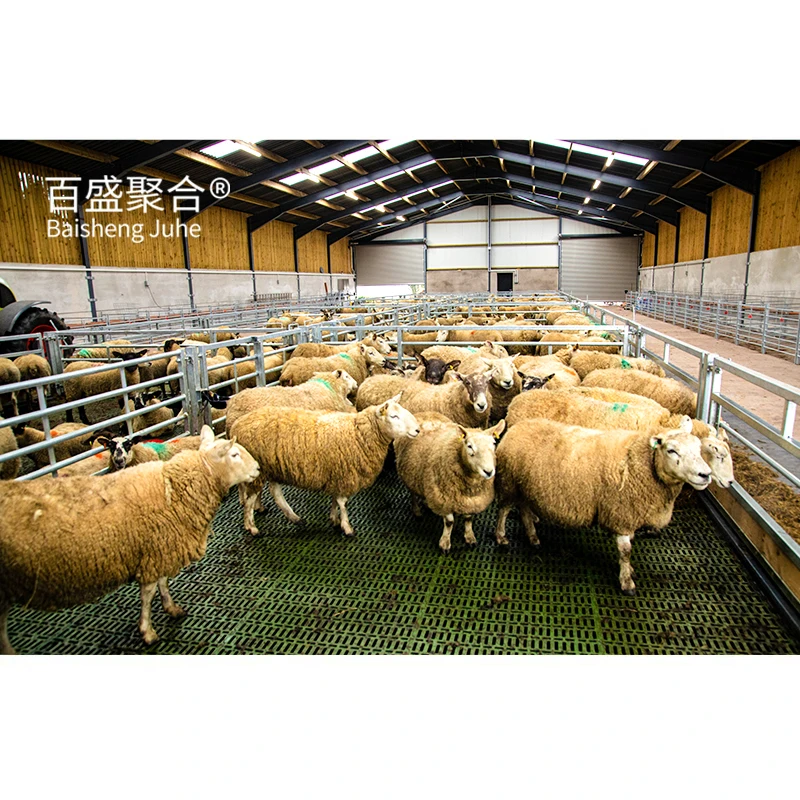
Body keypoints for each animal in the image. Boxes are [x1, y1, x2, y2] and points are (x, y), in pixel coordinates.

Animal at [0, 425, 259, 653]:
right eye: (234, 454)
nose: (258, 468)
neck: (175, 488)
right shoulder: (154, 549)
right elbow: (148, 593)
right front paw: (148, 631)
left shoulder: (160, 548)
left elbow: (163, 583)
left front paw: (171, 608)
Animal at [230, 397, 420, 537]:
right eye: (394, 417)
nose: (417, 430)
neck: (358, 433)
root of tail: (236, 425)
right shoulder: (344, 474)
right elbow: (343, 502)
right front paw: (347, 527)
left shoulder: (337, 474)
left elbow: (335, 499)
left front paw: (334, 519)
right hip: (259, 469)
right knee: (251, 499)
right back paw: (251, 527)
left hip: (271, 467)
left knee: (274, 493)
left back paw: (292, 517)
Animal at [394, 412, 506, 551]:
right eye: (469, 446)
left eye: (494, 444)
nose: (489, 471)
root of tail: (424, 413)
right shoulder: (444, 497)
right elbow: (449, 522)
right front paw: (445, 543)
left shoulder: (471, 500)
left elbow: (468, 519)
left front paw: (469, 537)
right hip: (410, 474)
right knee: (413, 493)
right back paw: (417, 511)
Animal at [493, 417, 713, 595]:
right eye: (671, 450)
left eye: (698, 447)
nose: (705, 474)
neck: (641, 463)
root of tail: (515, 427)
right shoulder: (621, 513)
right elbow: (626, 551)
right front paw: (627, 583)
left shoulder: (628, 514)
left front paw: (628, 571)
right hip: (509, 482)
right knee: (504, 510)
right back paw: (501, 537)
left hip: (525, 486)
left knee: (524, 510)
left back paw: (533, 537)